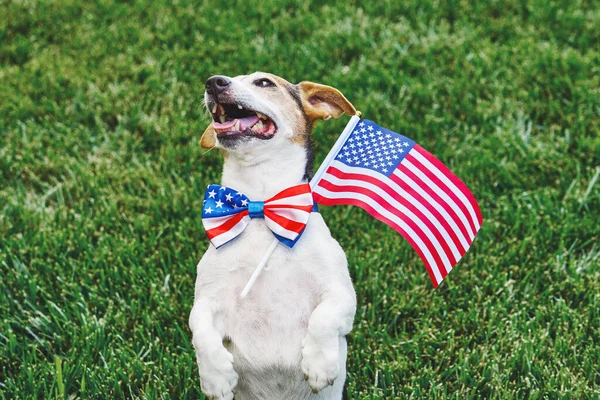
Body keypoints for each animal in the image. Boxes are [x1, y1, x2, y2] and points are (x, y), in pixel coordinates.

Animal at [188, 72, 356, 400]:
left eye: (264, 83)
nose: (214, 82)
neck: (261, 208)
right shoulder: (208, 298)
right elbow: (199, 327)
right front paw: (215, 377)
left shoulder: (342, 294)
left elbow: (324, 317)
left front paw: (319, 365)